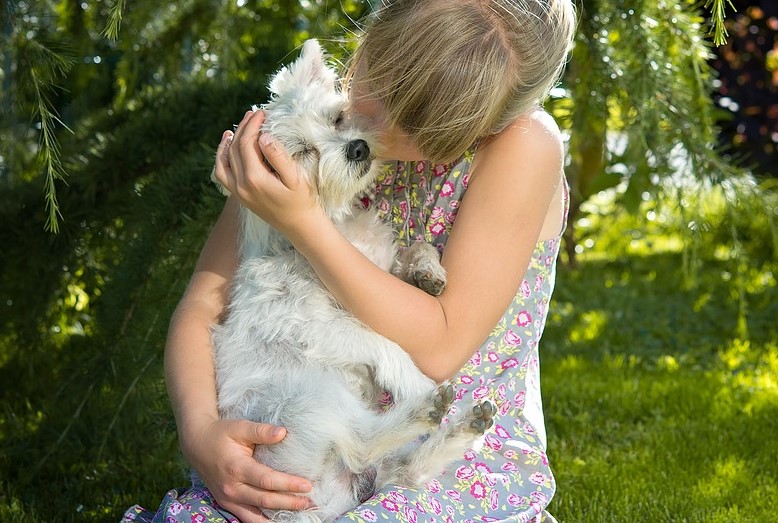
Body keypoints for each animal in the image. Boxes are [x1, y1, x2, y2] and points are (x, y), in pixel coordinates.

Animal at [211, 41, 492, 523]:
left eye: (338, 118)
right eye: (303, 152)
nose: (358, 148)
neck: (337, 228)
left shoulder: (376, 267)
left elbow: (416, 247)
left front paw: (427, 272)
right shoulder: (316, 326)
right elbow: (383, 343)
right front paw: (414, 380)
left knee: (406, 469)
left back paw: (463, 427)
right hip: (308, 402)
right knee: (362, 443)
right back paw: (426, 406)